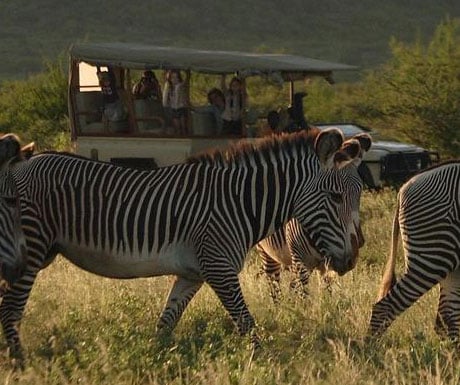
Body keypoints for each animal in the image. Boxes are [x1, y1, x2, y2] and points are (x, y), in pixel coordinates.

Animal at [256, 134, 372, 302]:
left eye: (360, 192)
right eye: (336, 196)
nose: (360, 242)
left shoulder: (327, 267)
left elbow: (327, 295)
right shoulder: (300, 263)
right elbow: (304, 297)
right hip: (267, 253)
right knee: (274, 285)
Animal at [368, 161, 460, 340]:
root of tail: (405, 185)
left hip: (452, 265)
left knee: (448, 318)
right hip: (433, 256)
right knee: (384, 307)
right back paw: (367, 347)